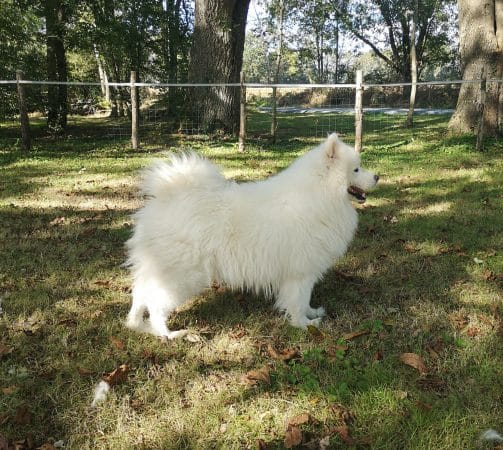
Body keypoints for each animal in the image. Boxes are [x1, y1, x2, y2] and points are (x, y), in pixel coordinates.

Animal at [125, 134, 378, 338]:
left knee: (140, 293)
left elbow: (304, 300)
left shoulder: (303, 272)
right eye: (356, 169)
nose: (377, 177)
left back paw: (137, 325)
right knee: (155, 303)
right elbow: (298, 301)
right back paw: (168, 334)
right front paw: (304, 324)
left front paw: (312, 312)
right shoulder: (300, 272)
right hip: (182, 275)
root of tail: (166, 198)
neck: (319, 195)